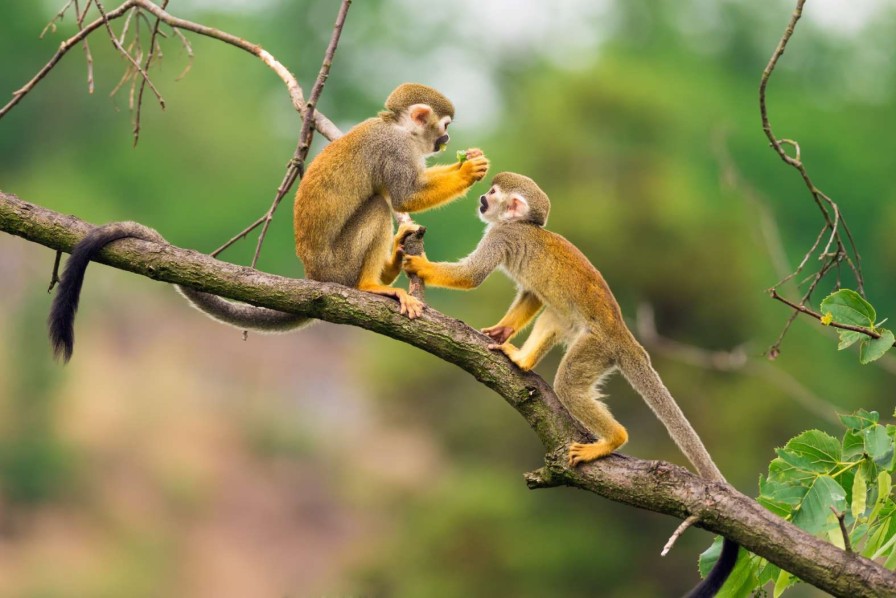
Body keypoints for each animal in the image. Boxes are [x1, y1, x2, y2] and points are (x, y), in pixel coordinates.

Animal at [47, 82, 490, 364]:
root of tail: (315, 278)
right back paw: (370, 285)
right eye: (444, 127)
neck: (398, 128)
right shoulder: (394, 150)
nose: (447, 141)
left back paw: (395, 259)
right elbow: (403, 196)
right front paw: (469, 171)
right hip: (338, 265)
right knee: (378, 206)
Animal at [402, 171, 740, 596]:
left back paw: (613, 439)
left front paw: (420, 264)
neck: (523, 226)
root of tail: (624, 335)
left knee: (568, 382)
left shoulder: (502, 236)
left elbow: (474, 276)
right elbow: (531, 295)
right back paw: (523, 360)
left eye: (493, 194)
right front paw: (502, 331)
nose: (481, 199)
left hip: (597, 347)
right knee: (554, 310)